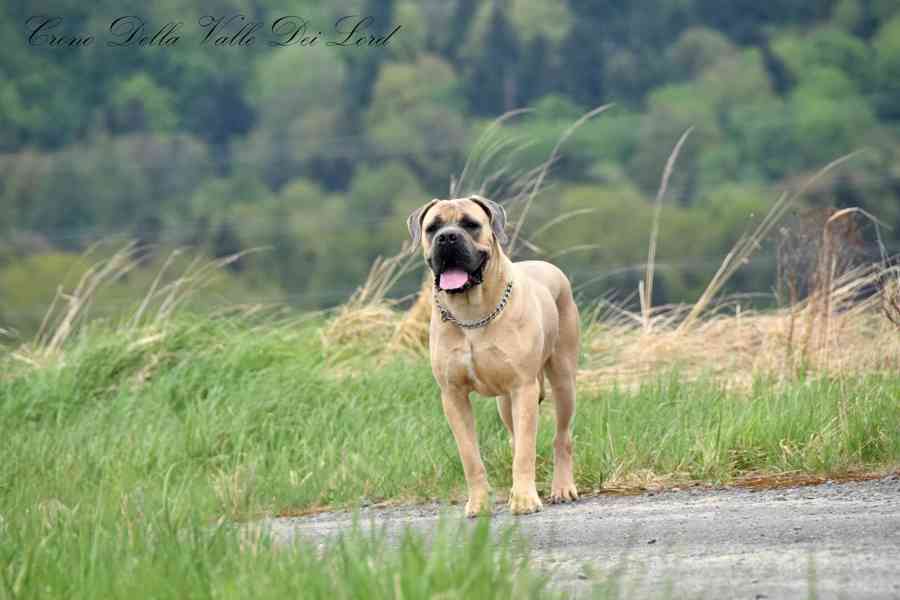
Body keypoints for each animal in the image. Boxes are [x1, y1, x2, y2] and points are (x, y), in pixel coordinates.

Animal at [406, 196, 580, 516]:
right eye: (432, 227)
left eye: (471, 224)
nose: (447, 238)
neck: (470, 313)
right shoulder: (453, 395)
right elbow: (470, 456)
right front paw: (479, 503)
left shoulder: (523, 387)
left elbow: (526, 450)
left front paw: (525, 500)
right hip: (504, 402)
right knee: (514, 437)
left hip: (563, 380)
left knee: (561, 437)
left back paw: (562, 487)